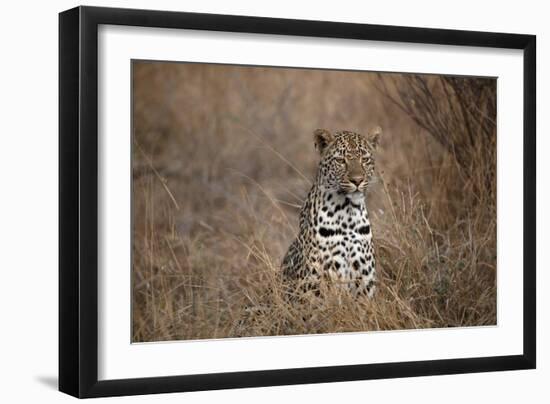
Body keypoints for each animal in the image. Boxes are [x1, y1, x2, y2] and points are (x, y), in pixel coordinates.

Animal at [282, 128, 382, 298]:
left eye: (365, 159)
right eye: (341, 160)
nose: (357, 180)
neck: (347, 214)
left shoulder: (365, 285)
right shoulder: (313, 286)